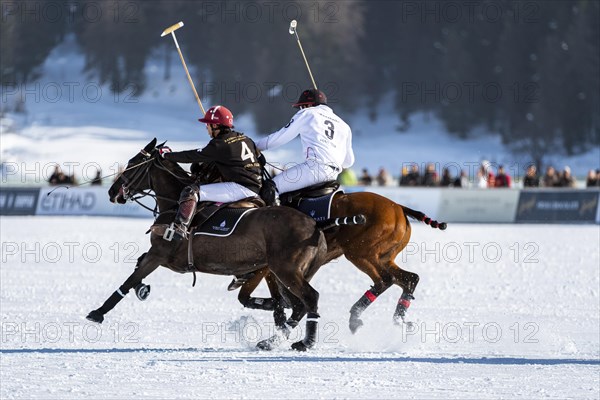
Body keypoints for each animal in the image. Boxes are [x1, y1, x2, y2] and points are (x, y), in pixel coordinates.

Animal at [85, 140, 328, 350]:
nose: (112, 192)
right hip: (281, 271)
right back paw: (272, 338)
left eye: (132, 163)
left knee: (310, 298)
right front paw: (143, 289)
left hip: (286, 269)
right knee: (297, 305)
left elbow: (129, 279)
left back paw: (304, 342)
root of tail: (315, 228)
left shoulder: (159, 254)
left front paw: (97, 313)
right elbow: (137, 265)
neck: (173, 206)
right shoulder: (163, 256)